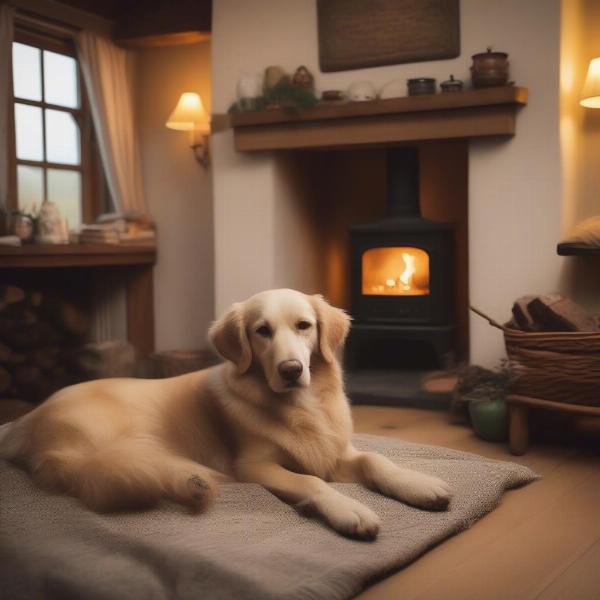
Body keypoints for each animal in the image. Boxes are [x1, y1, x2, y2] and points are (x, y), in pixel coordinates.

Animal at [0, 290, 450, 540]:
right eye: (261, 331)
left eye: (304, 326)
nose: (291, 370)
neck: (302, 406)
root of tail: (23, 421)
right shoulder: (255, 466)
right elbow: (311, 482)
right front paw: (349, 510)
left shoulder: (332, 450)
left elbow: (376, 459)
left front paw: (418, 484)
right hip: (108, 440)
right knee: (103, 474)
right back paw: (190, 484)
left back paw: (193, 484)